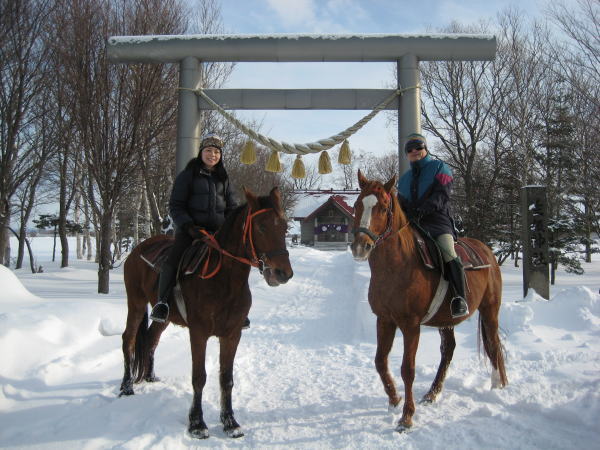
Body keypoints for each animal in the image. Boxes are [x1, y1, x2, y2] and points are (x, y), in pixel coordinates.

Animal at [119, 186, 292, 440]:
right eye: (261, 227)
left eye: (285, 226)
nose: (283, 273)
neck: (225, 281)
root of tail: (137, 250)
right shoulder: (198, 334)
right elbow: (199, 377)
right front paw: (197, 423)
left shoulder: (232, 335)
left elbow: (226, 378)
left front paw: (230, 422)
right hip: (136, 303)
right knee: (129, 339)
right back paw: (126, 386)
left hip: (164, 318)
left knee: (151, 339)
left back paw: (150, 376)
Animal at [352, 170, 506, 432]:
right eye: (357, 205)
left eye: (382, 207)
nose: (361, 247)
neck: (397, 266)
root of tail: (487, 251)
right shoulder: (385, 320)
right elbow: (380, 361)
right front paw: (394, 398)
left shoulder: (410, 325)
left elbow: (408, 369)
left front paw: (406, 417)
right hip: (446, 320)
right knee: (448, 350)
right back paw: (433, 393)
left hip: (490, 310)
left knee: (494, 345)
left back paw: (498, 386)